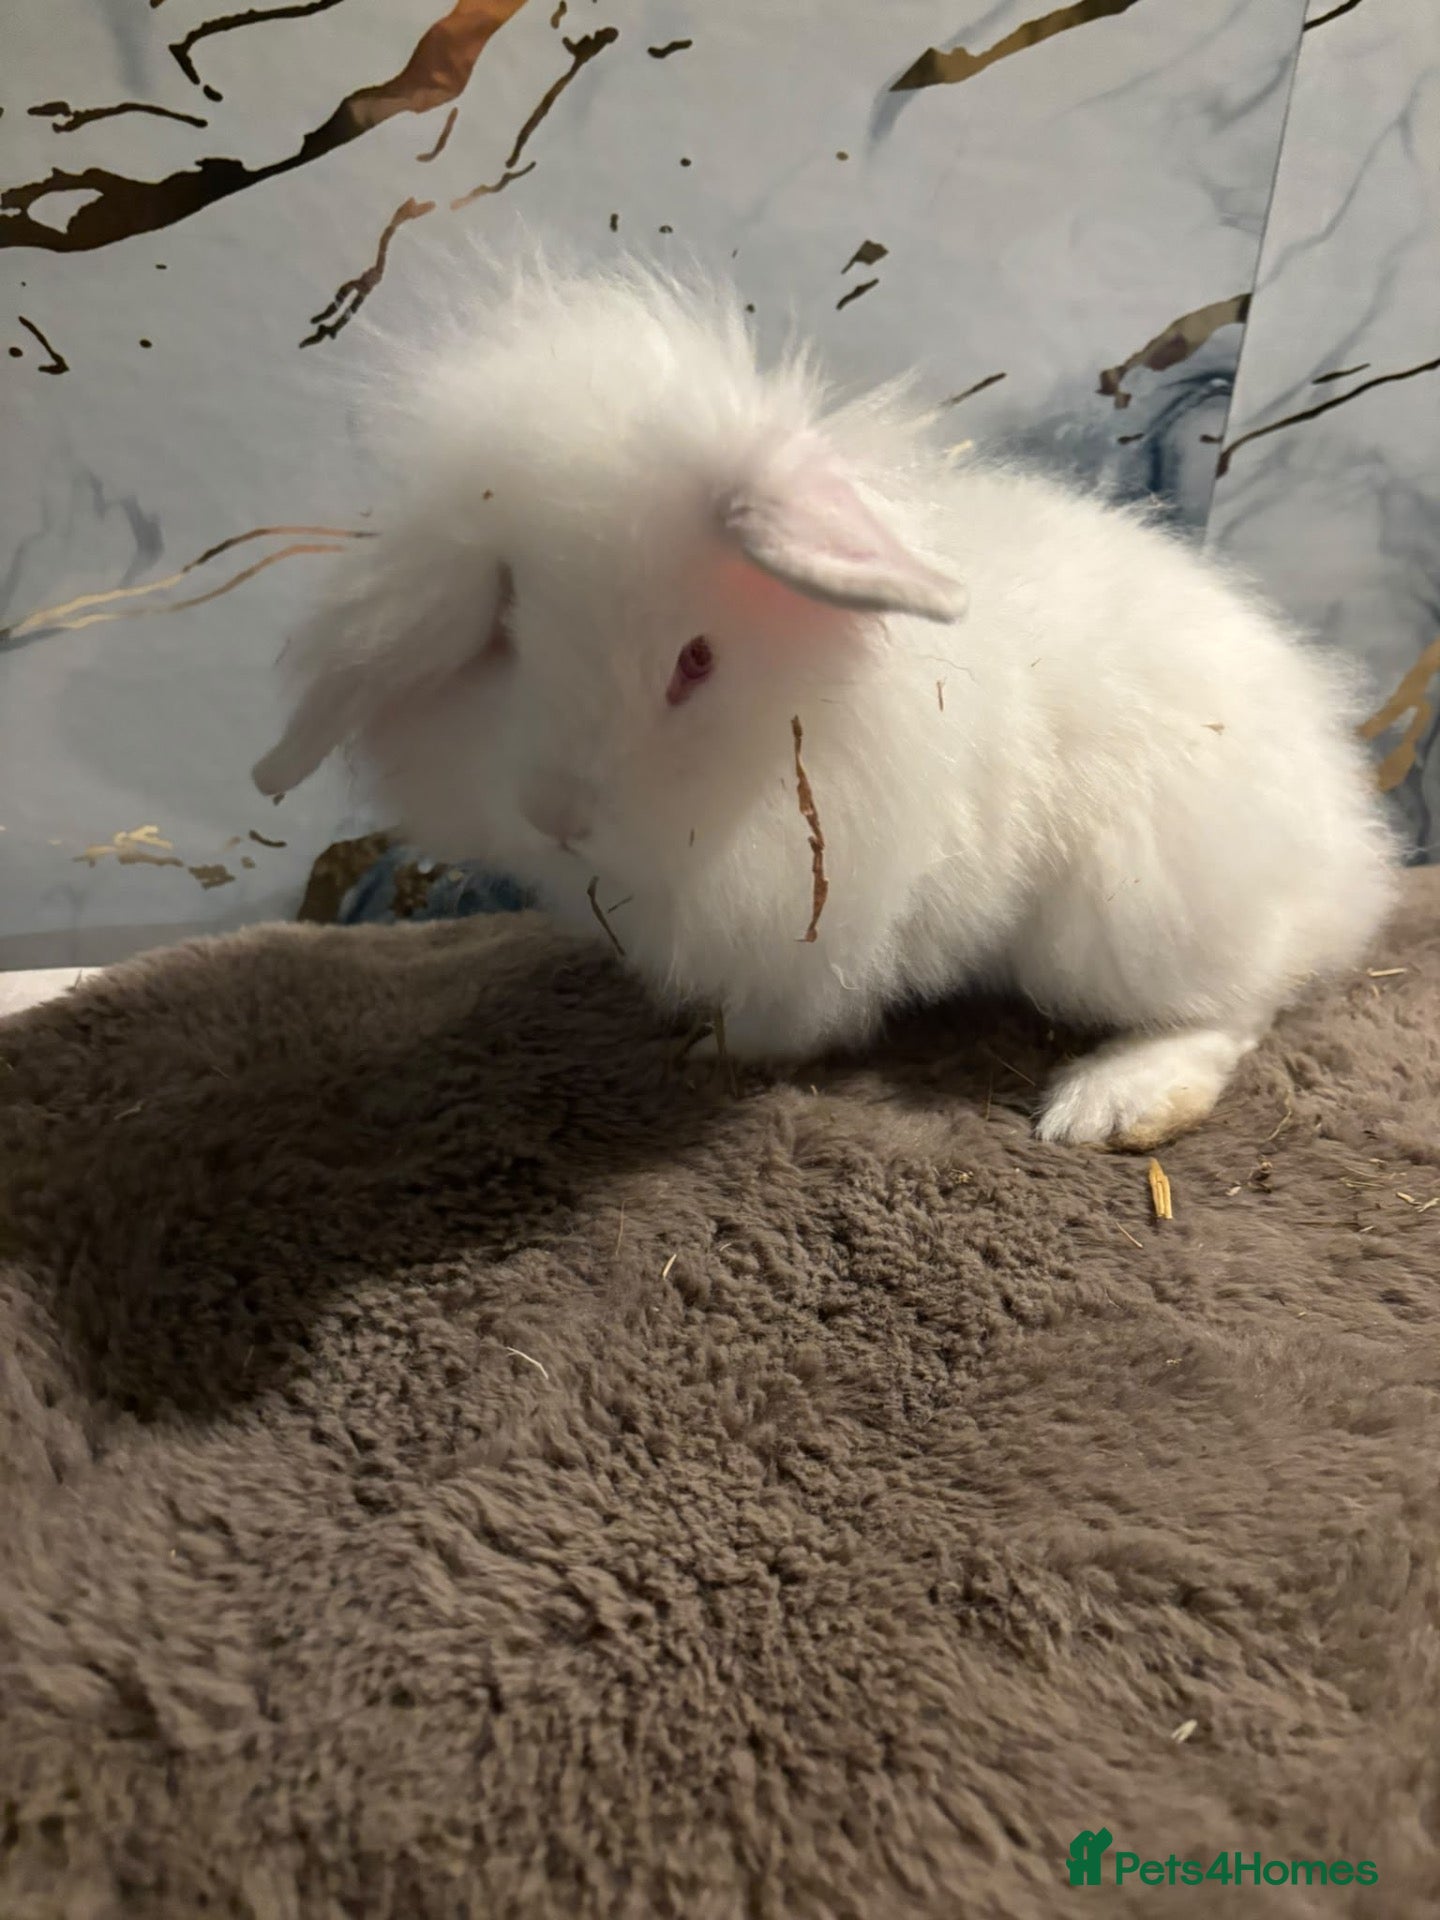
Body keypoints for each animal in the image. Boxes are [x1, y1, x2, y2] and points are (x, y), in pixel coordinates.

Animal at [253, 256, 1398, 1149]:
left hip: (1130, 912)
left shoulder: (834, 917)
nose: (557, 816)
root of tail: (1347, 850)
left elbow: (799, 1010)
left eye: (695, 660)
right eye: (508, 630)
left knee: (1237, 1005)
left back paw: (1111, 1105)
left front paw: (719, 1050)